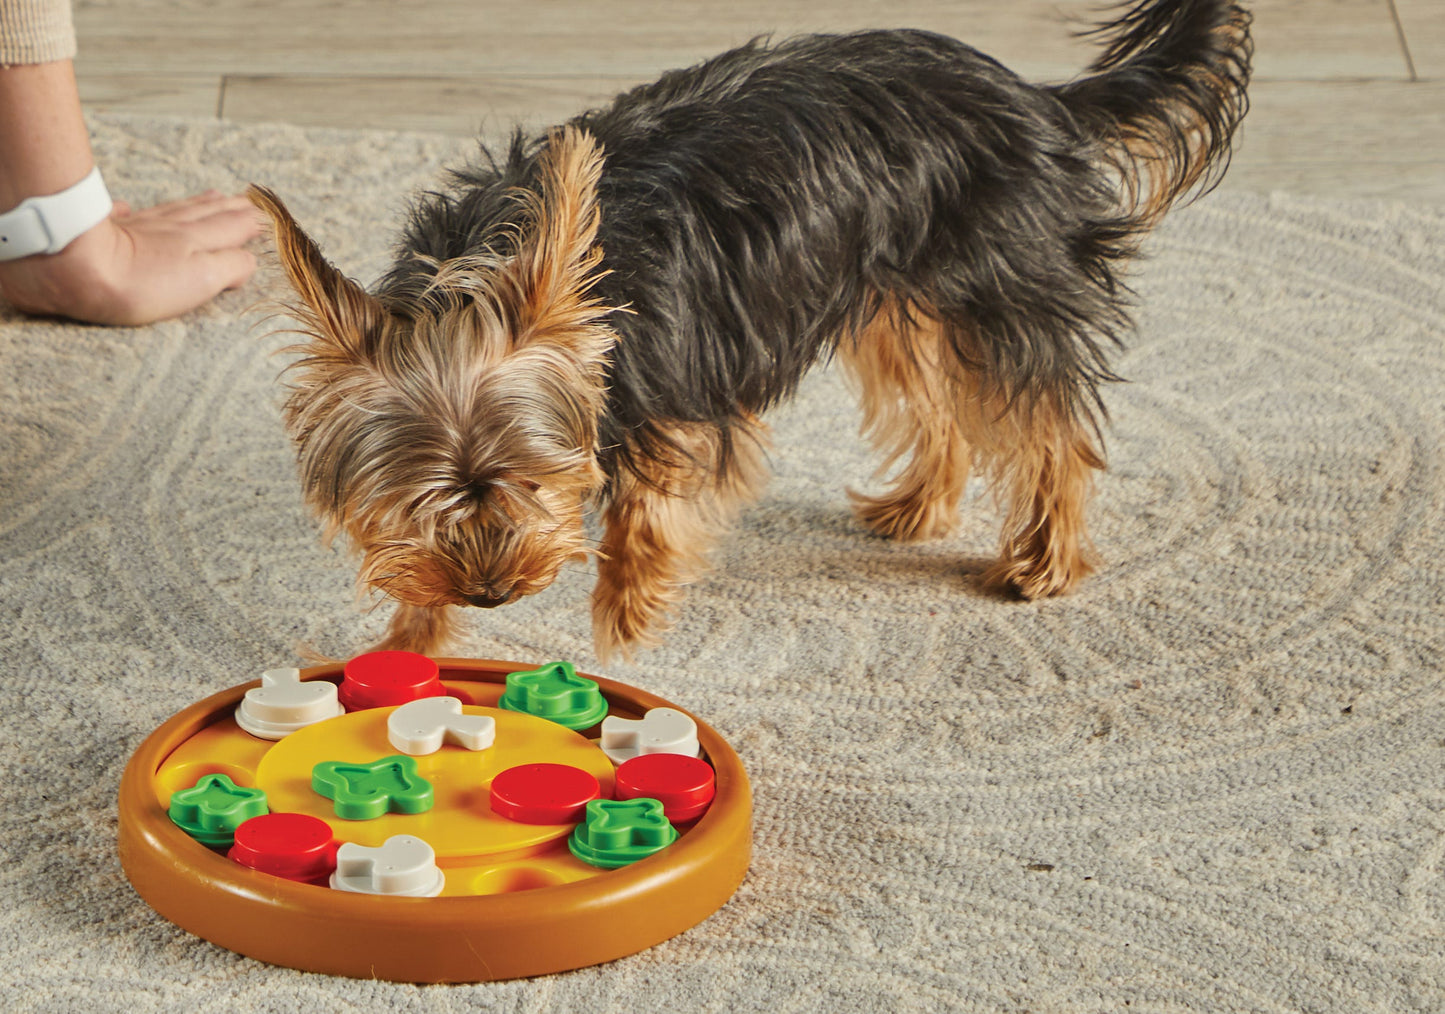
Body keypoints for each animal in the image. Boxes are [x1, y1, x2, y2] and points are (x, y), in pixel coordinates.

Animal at [248, 0, 1254, 664]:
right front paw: (409, 639)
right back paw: (918, 506)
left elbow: (647, 517)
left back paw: (1044, 561)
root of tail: (1037, 99)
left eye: (536, 481)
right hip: (892, 293)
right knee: (935, 397)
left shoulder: (673, 401)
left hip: (1006, 285)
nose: (493, 593)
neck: (477, 266)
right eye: (411, 505)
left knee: (1044, 424)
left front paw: (623, 626)